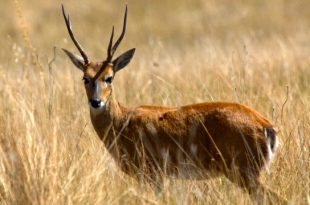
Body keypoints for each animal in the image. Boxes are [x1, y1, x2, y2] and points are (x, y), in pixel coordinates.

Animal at [61, 4, 286, 204]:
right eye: (85, 78)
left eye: (109, 77)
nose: (96, 101)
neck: (122, 122)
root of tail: (266, 126)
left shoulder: (152, 174)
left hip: (245, 173)